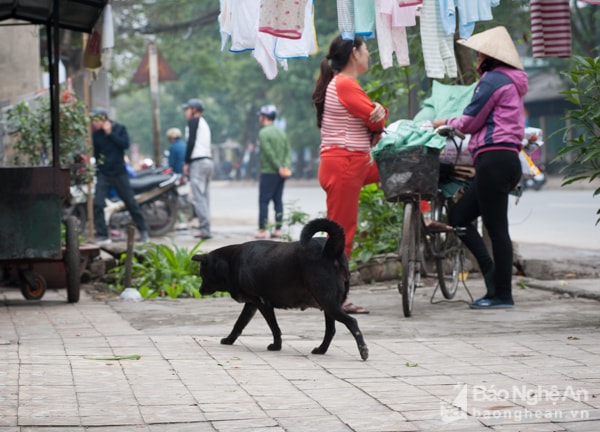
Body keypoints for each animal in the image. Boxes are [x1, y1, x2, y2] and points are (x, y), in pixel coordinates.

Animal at [195, 218, 368, 360]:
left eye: (202, 274)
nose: (200, 291)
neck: (231, 262)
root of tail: (330, 250)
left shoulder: (263, 304)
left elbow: (274, 327)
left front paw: (276, 346)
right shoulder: (251, 304)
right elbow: (239, 324)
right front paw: (229, 340)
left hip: (329, 302)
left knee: (352, 322)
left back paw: (363, 350)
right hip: (327, 305)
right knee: (330, 330)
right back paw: (321, 350)